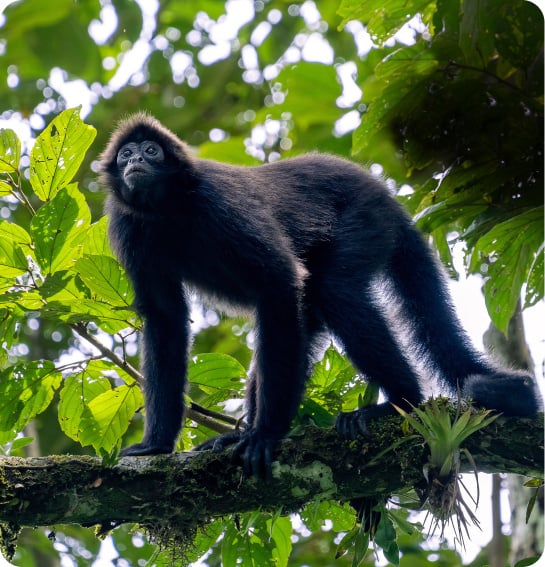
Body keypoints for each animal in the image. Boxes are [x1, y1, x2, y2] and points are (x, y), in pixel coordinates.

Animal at [100, 116, 536, 480]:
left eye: (151, 151)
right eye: (125, 154)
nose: (134, 159)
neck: (170, 209)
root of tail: (384, 194)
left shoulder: (217, 201)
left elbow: (278, 282)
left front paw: (266, 435)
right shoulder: (130, 226)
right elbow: (166, 319)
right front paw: (157, 445)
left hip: (365, 218)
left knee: (333, 291)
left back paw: (402, 403)